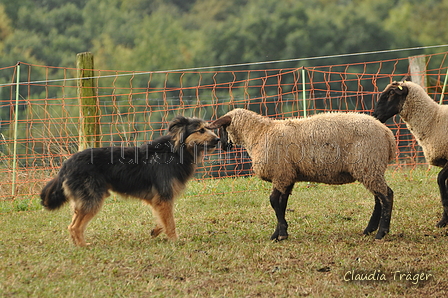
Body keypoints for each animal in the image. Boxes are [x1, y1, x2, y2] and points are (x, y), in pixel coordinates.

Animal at [41, 116, 220, 247]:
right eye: (201, 130)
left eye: (208, 128)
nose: (218, 139)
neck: (175, 151)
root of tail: (67, 164)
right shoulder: (163, 197)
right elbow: (170, 223)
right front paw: (175, 241)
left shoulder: (159, 201)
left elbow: (163, 219)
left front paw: (156, 230)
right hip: (92, 199)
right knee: (75, 227)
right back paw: (82, 246)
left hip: (85, 199)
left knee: (73, 224)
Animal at [210, 108, 396, 241]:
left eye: (223, 128)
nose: (223, 146)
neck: (259, 133)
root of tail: (388, 135)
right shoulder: (287, 176)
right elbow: (282, 204)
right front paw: (278, 233)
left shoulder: (280, 174)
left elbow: (274, 202)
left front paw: (281, 233)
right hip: (370, 169)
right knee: (379, 198)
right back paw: (369, 230)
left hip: (368, 164)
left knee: (386, 196)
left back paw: (381, 233)